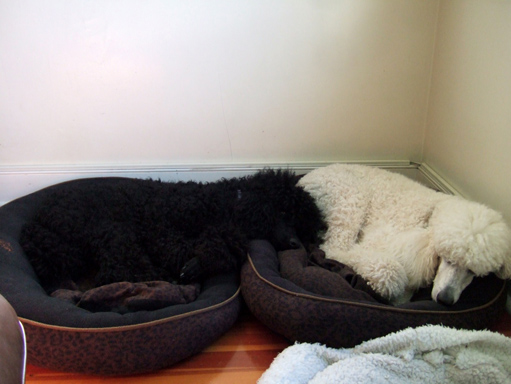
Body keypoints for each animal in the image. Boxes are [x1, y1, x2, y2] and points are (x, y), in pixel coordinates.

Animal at [20, 170, 326, 292]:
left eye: (302, 225)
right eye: (284, 213)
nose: (296, 243)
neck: (225, 203)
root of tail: (37, 219)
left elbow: (225, 247)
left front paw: (202, 261)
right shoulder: (159, 226)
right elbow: (179, 247)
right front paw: (191, 265)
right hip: (114, 232)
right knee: (116, 273)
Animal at [300, 164, 511, 306]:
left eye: (474, 272)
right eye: (448, 259)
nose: (445, 300)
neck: (430, 216)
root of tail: (304, 178)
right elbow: (391, 269)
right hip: (350, 197)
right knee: (335, 249)